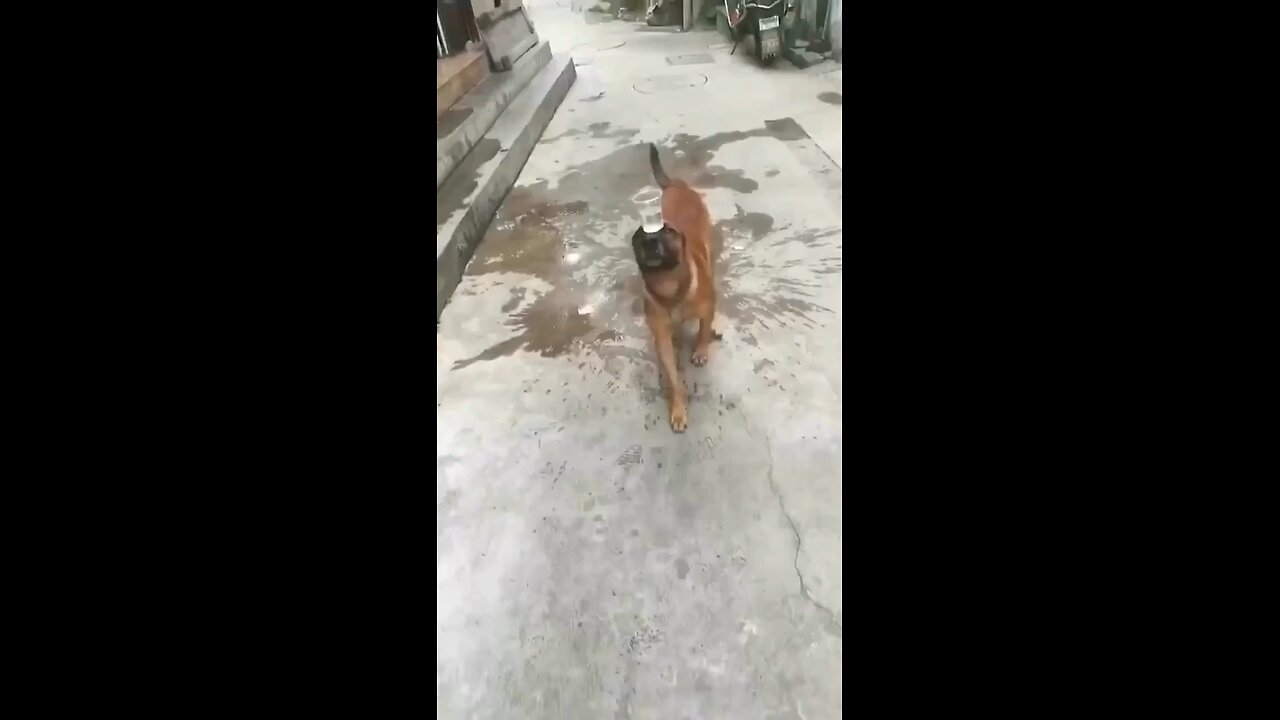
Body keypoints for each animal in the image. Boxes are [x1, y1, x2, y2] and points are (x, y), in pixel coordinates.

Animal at [632, 142, 721, 427]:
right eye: (638, 236)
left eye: (669, 232)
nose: (650, 241)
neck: (670, 287)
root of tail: (675, 184)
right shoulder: (661, 337)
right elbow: (673, 378)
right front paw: (679, 408)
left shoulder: (707, 308)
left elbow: (703, 330)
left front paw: (701, 349)